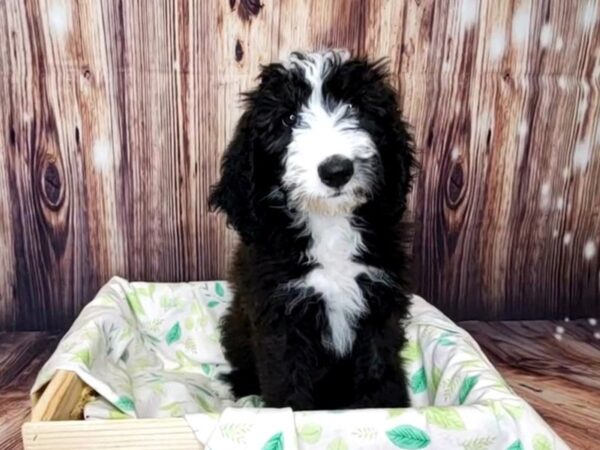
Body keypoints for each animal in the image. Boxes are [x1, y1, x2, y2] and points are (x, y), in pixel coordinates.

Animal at [211, 50, 418, 412]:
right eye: (289, 119)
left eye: (354, 107)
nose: (336, 170)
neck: (330, 224)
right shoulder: (280, 314)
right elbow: (287, 380)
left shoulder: (379, 303)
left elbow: (379, 370)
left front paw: (387, 410)